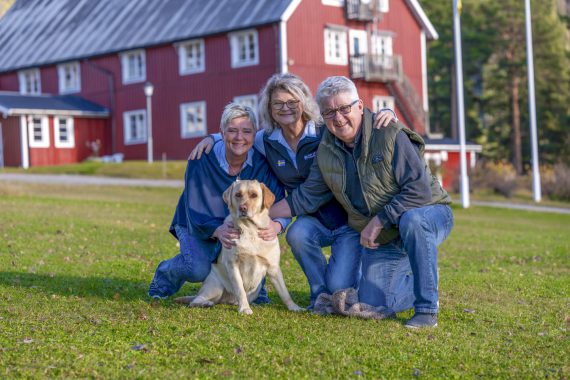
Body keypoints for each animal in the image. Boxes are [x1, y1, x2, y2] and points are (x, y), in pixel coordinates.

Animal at [175, 180, 302, 314]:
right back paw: (206, 303)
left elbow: (284, 292)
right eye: (238, 195)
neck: (250, 230)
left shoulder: (273, 268)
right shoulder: (233, 265)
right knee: (195, 301)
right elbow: (240, 289)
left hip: (255, 291)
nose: (243, 208)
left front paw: (294, 307)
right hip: (215, 286)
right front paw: (245, 308)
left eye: (254, 195)